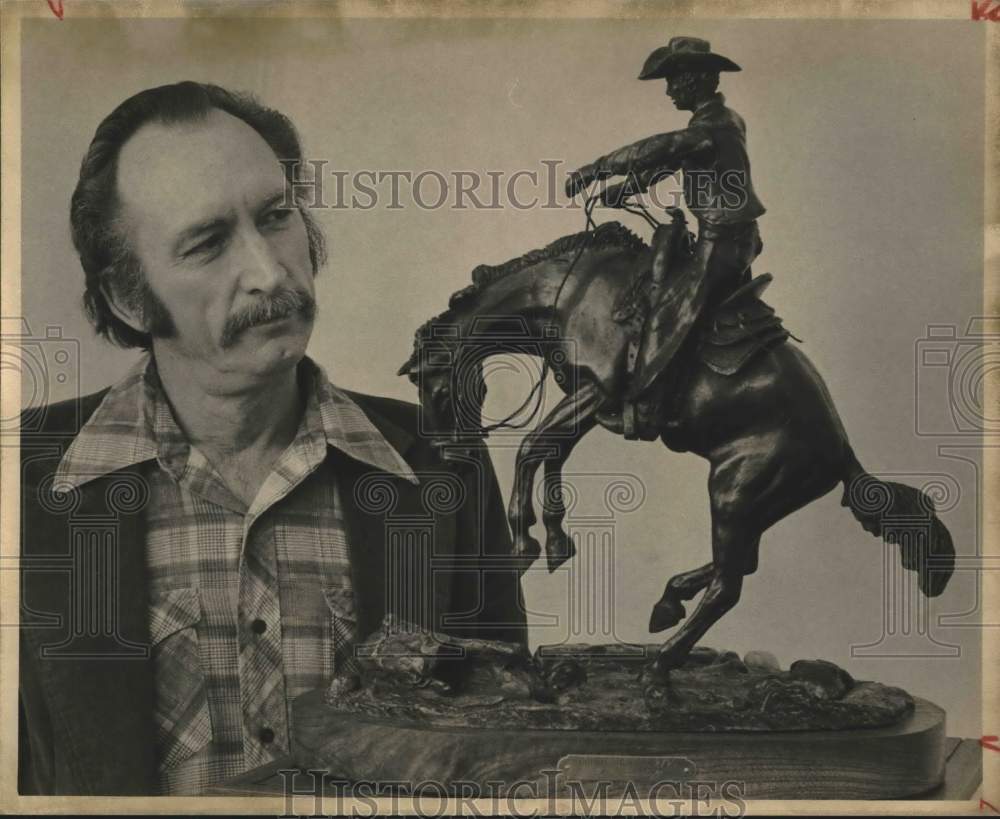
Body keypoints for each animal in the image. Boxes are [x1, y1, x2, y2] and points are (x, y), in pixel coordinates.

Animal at [396, 218, 952, 672]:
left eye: (431, 387)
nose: (450, 455)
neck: (567, 294)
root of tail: (843, 453)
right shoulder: (589, 399)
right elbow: (552, 452)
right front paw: (554, 538)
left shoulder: (598, 391)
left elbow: (533, 447)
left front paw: (524, 542)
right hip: (756, 502)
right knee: (740, 565)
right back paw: (668, 604)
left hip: (733, 494)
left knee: (729, 585)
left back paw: (660, 665)